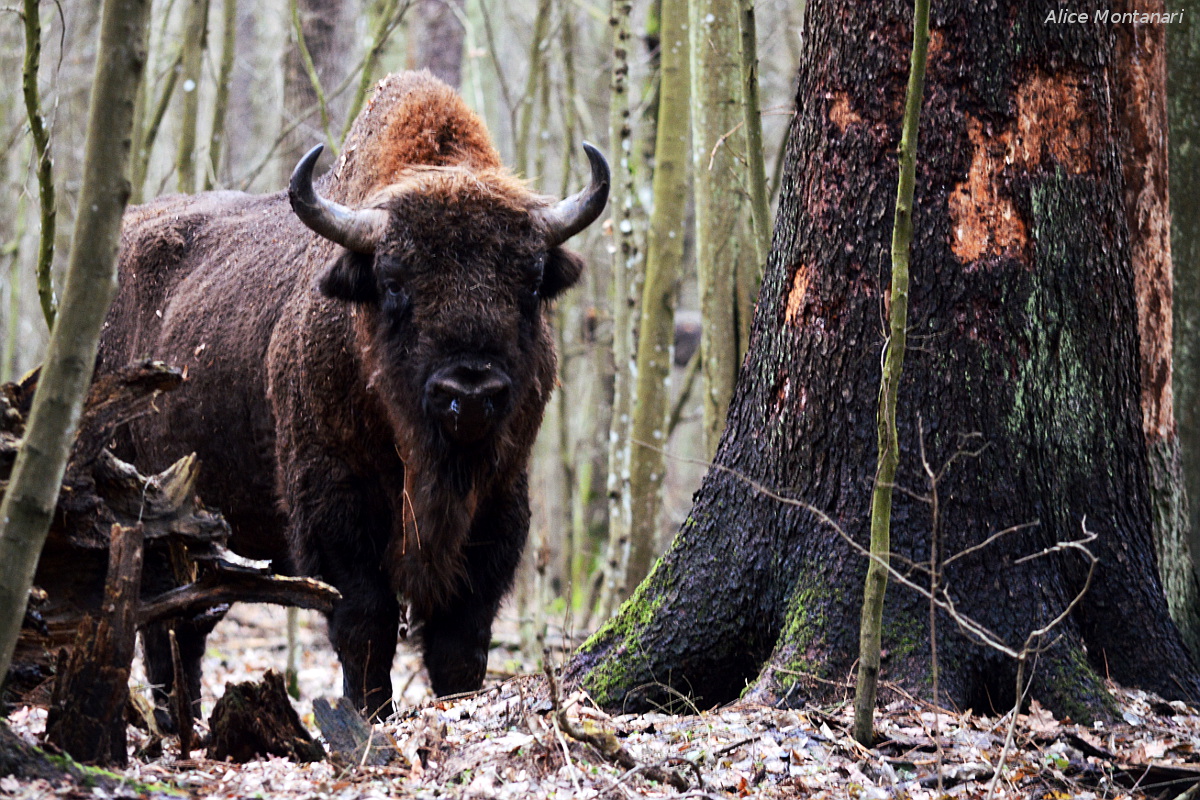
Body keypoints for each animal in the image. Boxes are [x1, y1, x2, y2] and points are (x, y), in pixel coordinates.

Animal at [97, 71, 609, 721]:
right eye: (392, 282)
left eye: (533, 279)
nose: (468, 393)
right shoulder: (335, 501)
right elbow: (367, 622)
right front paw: (369, 716)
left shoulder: (499, 502)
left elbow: (460, 636)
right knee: (162, 627)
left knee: (184, 627)